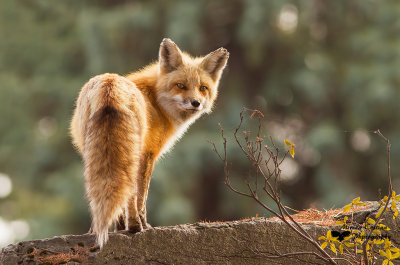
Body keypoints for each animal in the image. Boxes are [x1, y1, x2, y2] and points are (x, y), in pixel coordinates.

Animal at [70, 38, 230, 246]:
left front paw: (119, 228)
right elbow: (142, 197)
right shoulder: (149, 154)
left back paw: (94, 230)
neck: (156, 101)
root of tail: (109, 82)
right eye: (180, 85)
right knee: (130, 193)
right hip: (131, 153)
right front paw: (143, 225)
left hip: (93, 152)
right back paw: (135, 226)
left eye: (203, 88)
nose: (196, 103)